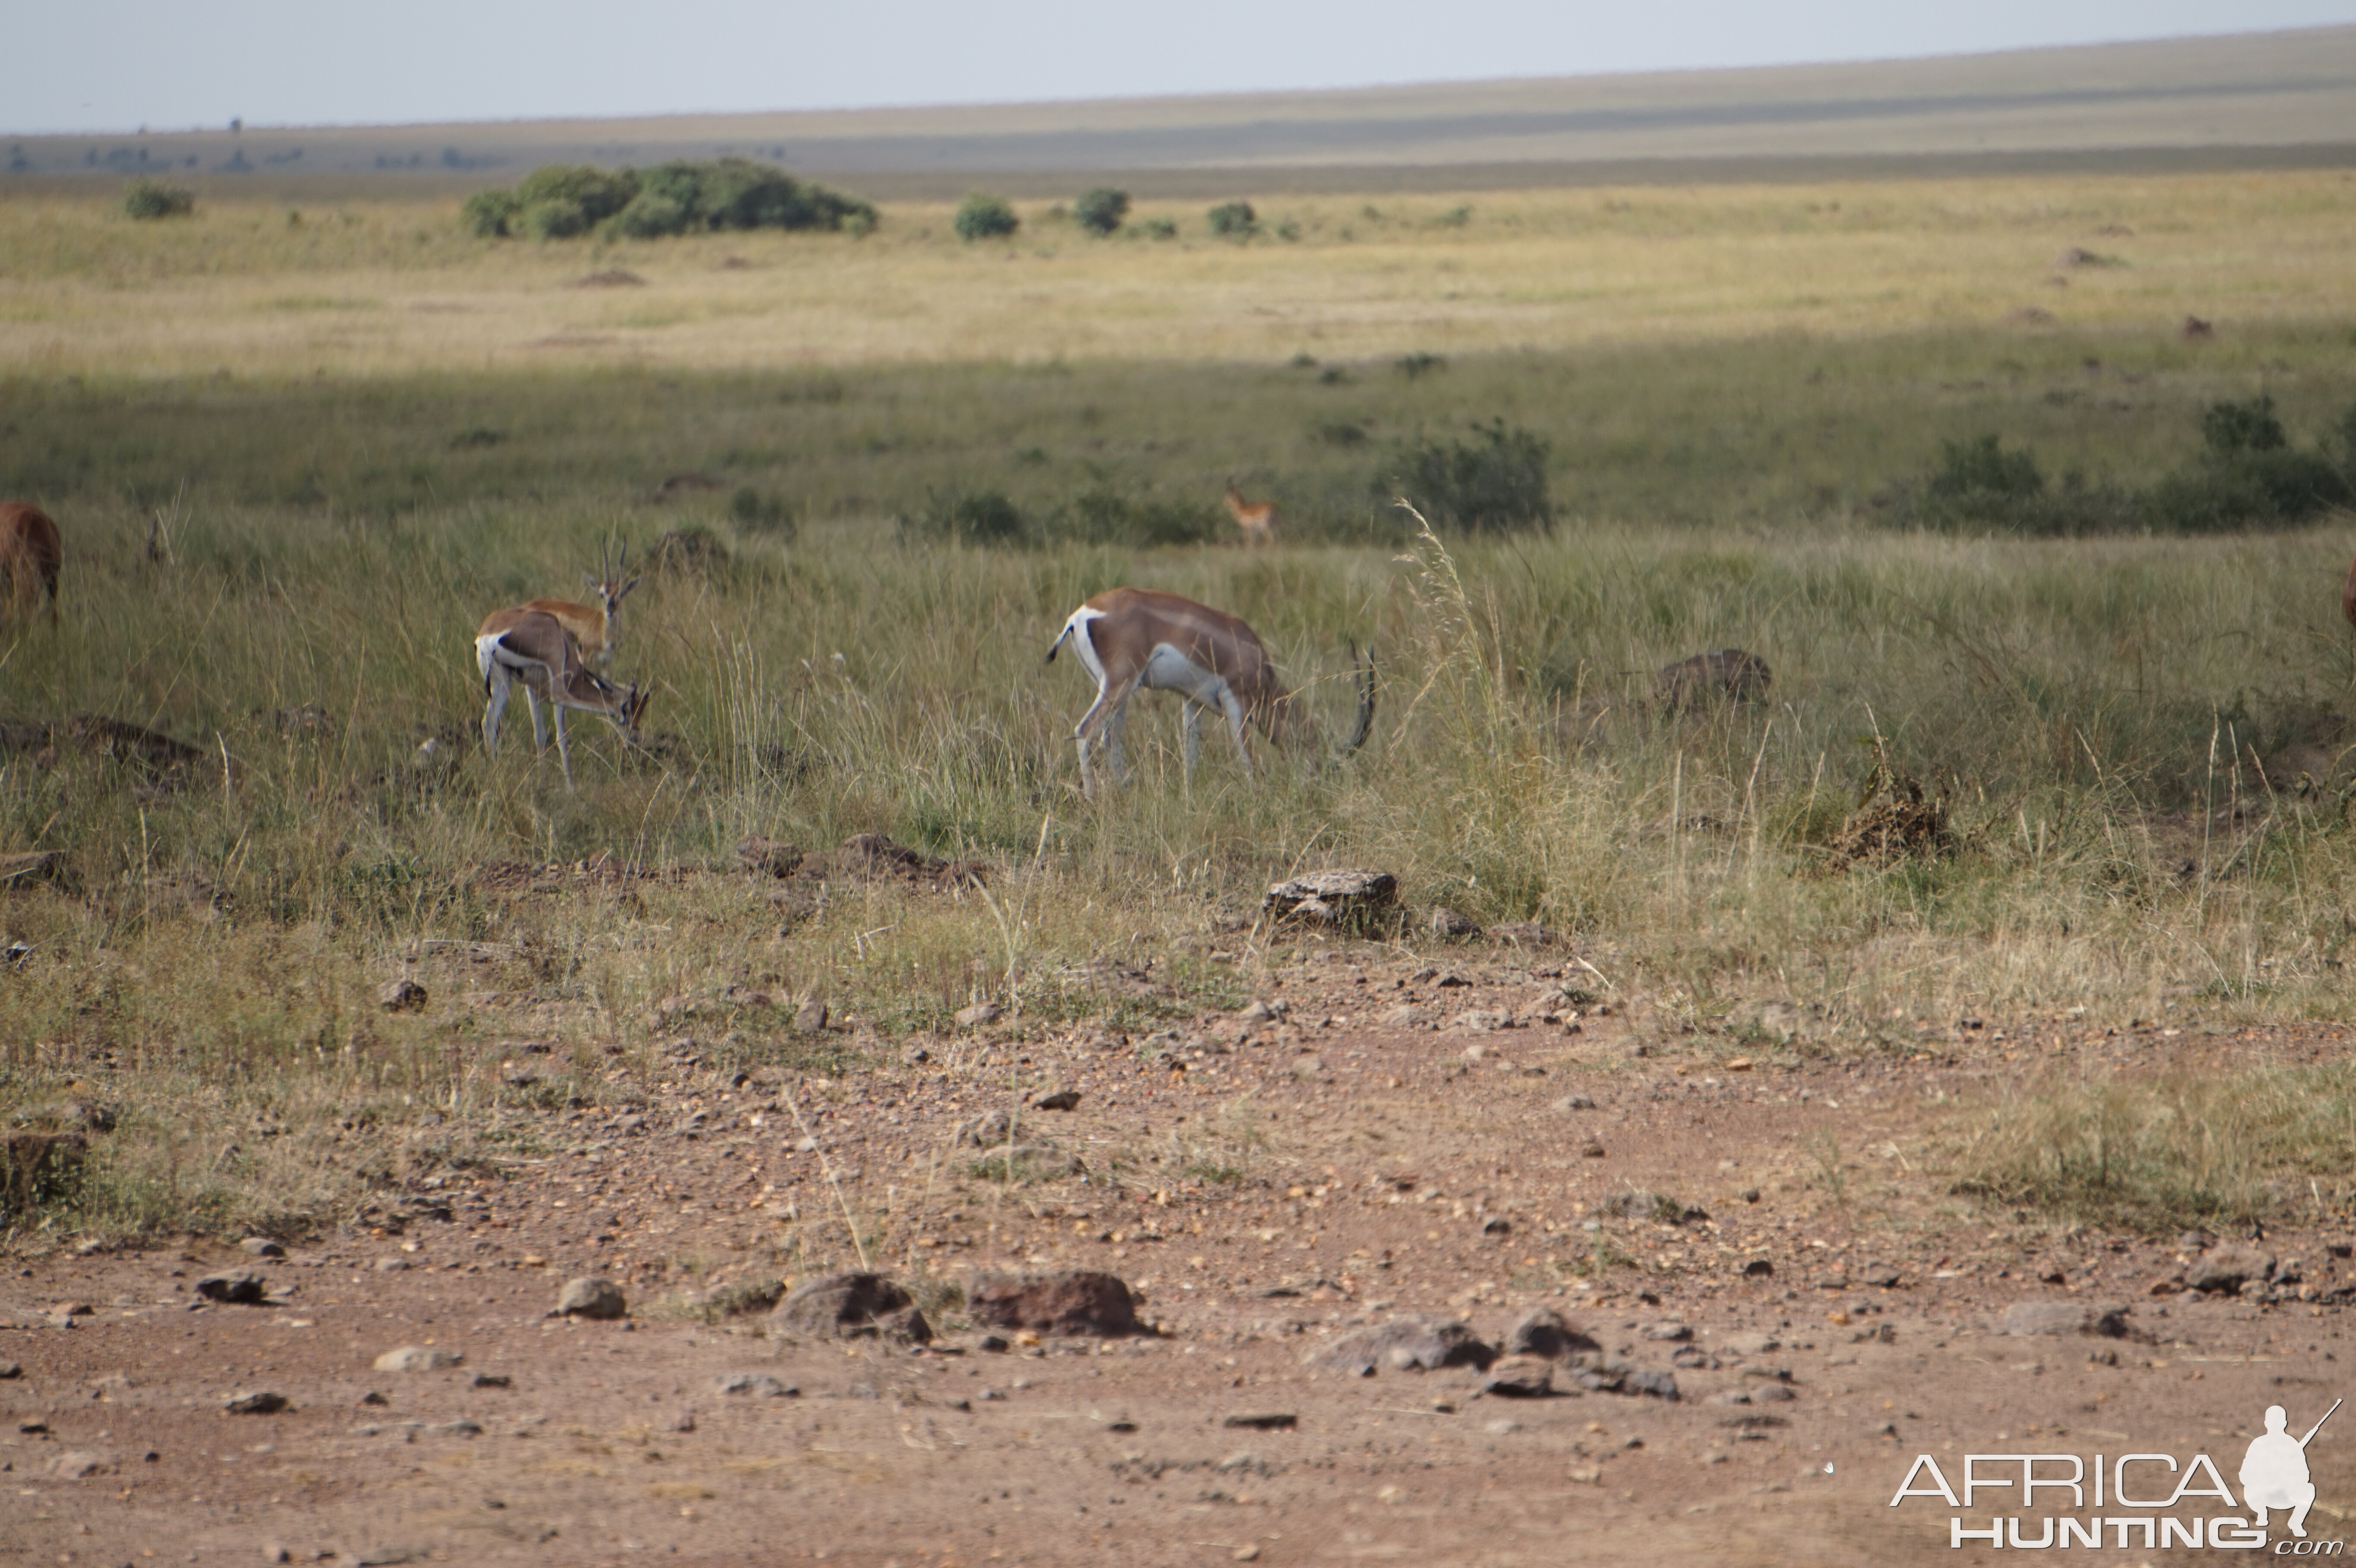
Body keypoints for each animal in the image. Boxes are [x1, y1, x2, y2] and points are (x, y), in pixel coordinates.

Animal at [473, 603, 650, 786]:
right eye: (630, 710)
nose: (634, 743)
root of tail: (490, 631)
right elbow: (561, 737)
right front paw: (570, 788)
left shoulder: (532, 691)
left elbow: (540, 736)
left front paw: (542, 784)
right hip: (553, 670)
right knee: (560, 697)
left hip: (501, 685)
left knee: (488, 724)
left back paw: (494, 775)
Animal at [523, 537, 641, 664]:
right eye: (601, 594)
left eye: (621, 595)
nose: (610, 611)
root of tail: (526, 606)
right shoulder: (585, 658)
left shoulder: (607, 663)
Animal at [1046, 584, 1376, 796]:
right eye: (1322, 763)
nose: (1316, 792)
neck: (1252, 656)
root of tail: (1078, 617)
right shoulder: (1237, 703)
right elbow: (1247, 759)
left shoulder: (1193, 701)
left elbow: (1190, 755)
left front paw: (1189, 800)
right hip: (1120, 684)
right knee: (1085, 731)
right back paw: (1092, 798)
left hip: (1118, 691)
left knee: (1109, 739)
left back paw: (1123, 792)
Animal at [1225, 475, 1282, 548]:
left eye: (1229, 495)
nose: (1224, 503)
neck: (1242, 509)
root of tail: (1273, 507)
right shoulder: (1254, 531)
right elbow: (1253, 542)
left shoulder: (1246, 528)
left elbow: (1247, 541)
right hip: (1275, 525)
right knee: (1277, 537)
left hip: (1265, 526)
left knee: (1271, 538)